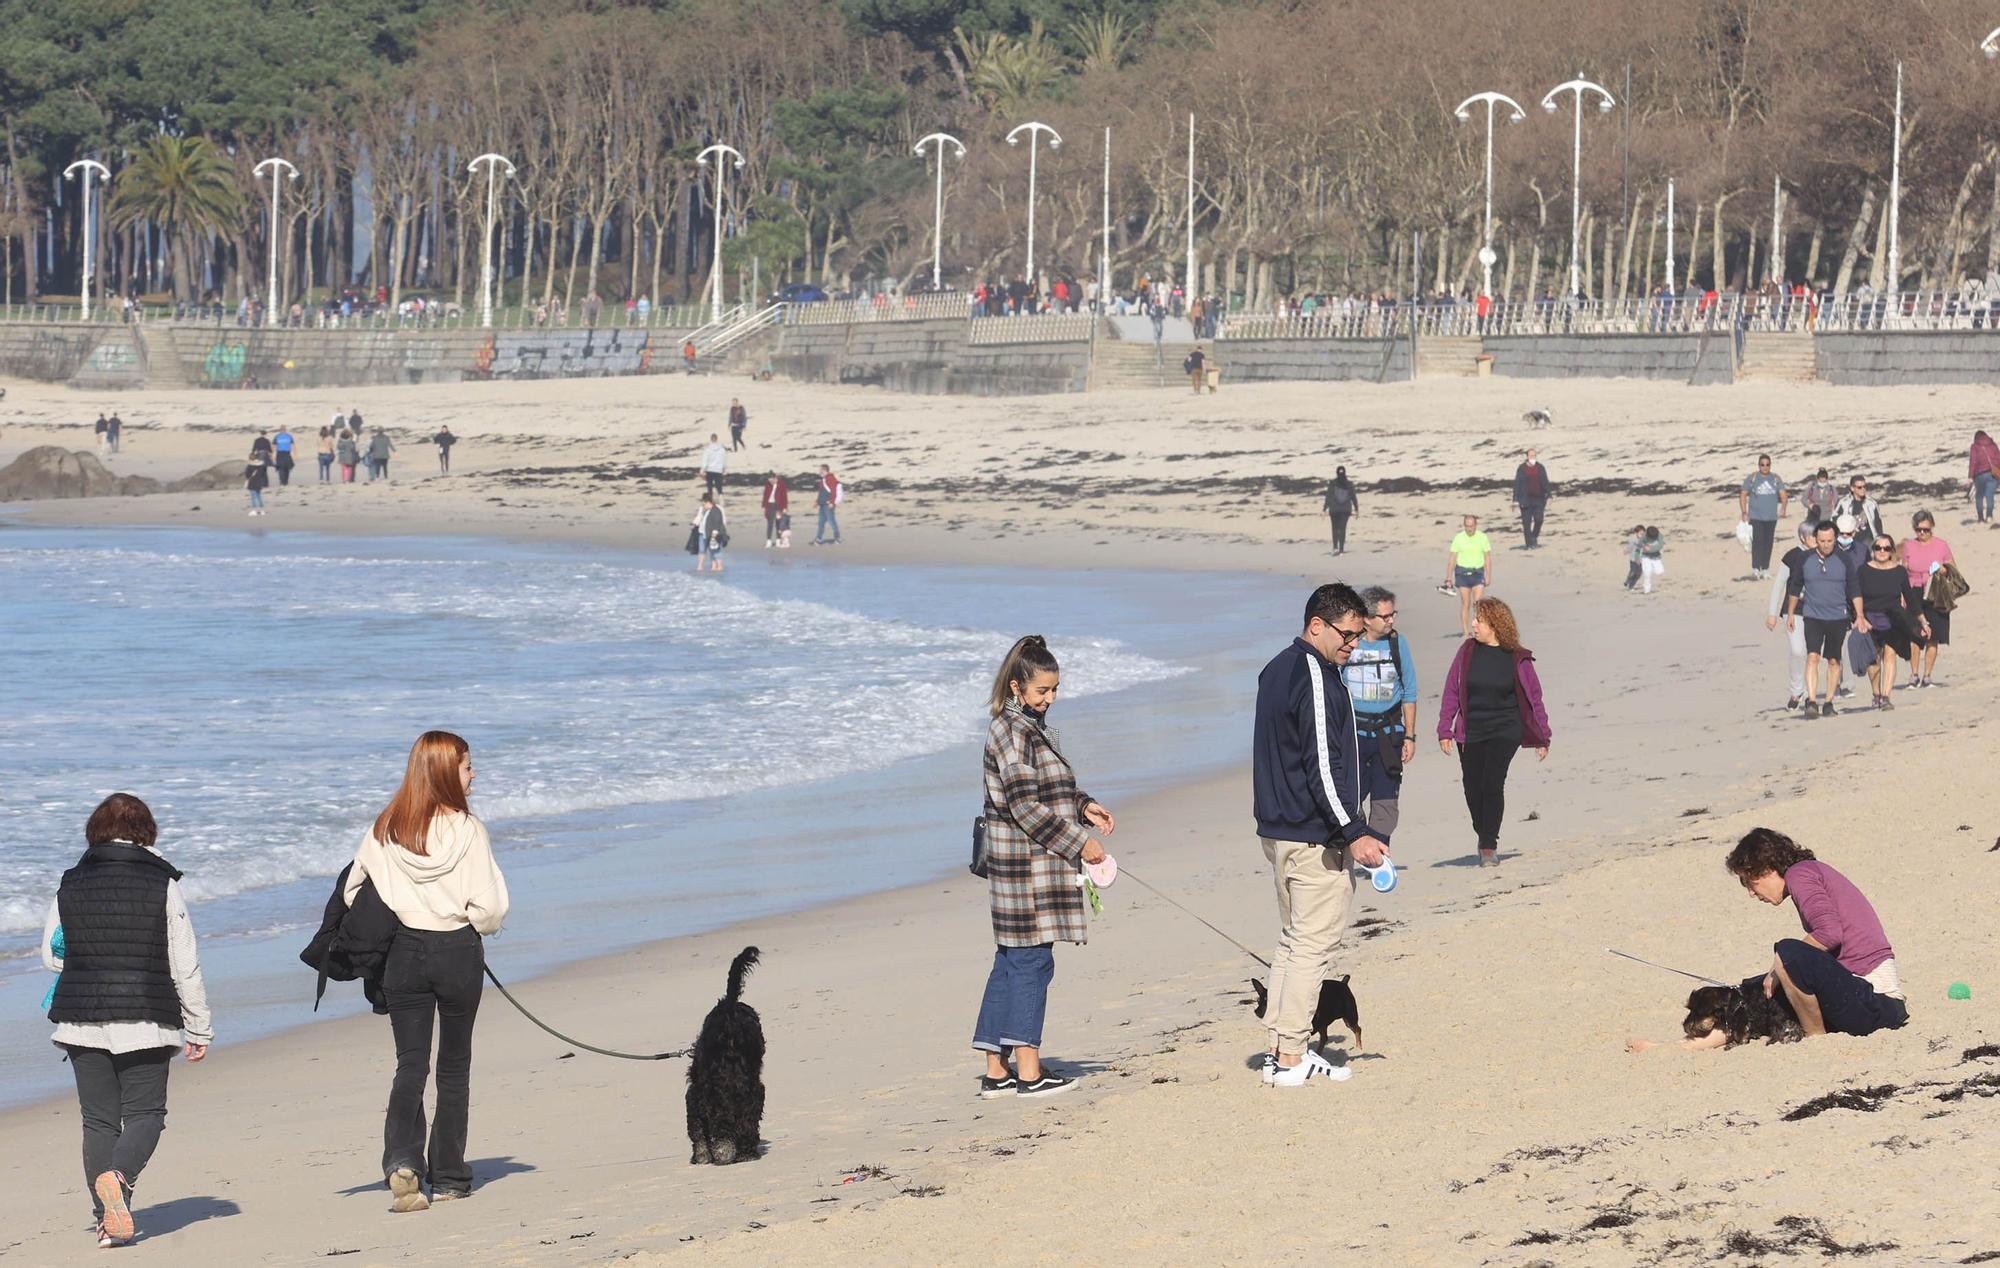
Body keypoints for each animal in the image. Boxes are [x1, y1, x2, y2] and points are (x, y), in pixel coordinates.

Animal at [680, 944, 756, 1160]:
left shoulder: (695, 1099)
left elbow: (697, 1131)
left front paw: (702, 1154)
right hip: (749, 1091)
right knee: (748, 1121)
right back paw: (746, 1151)